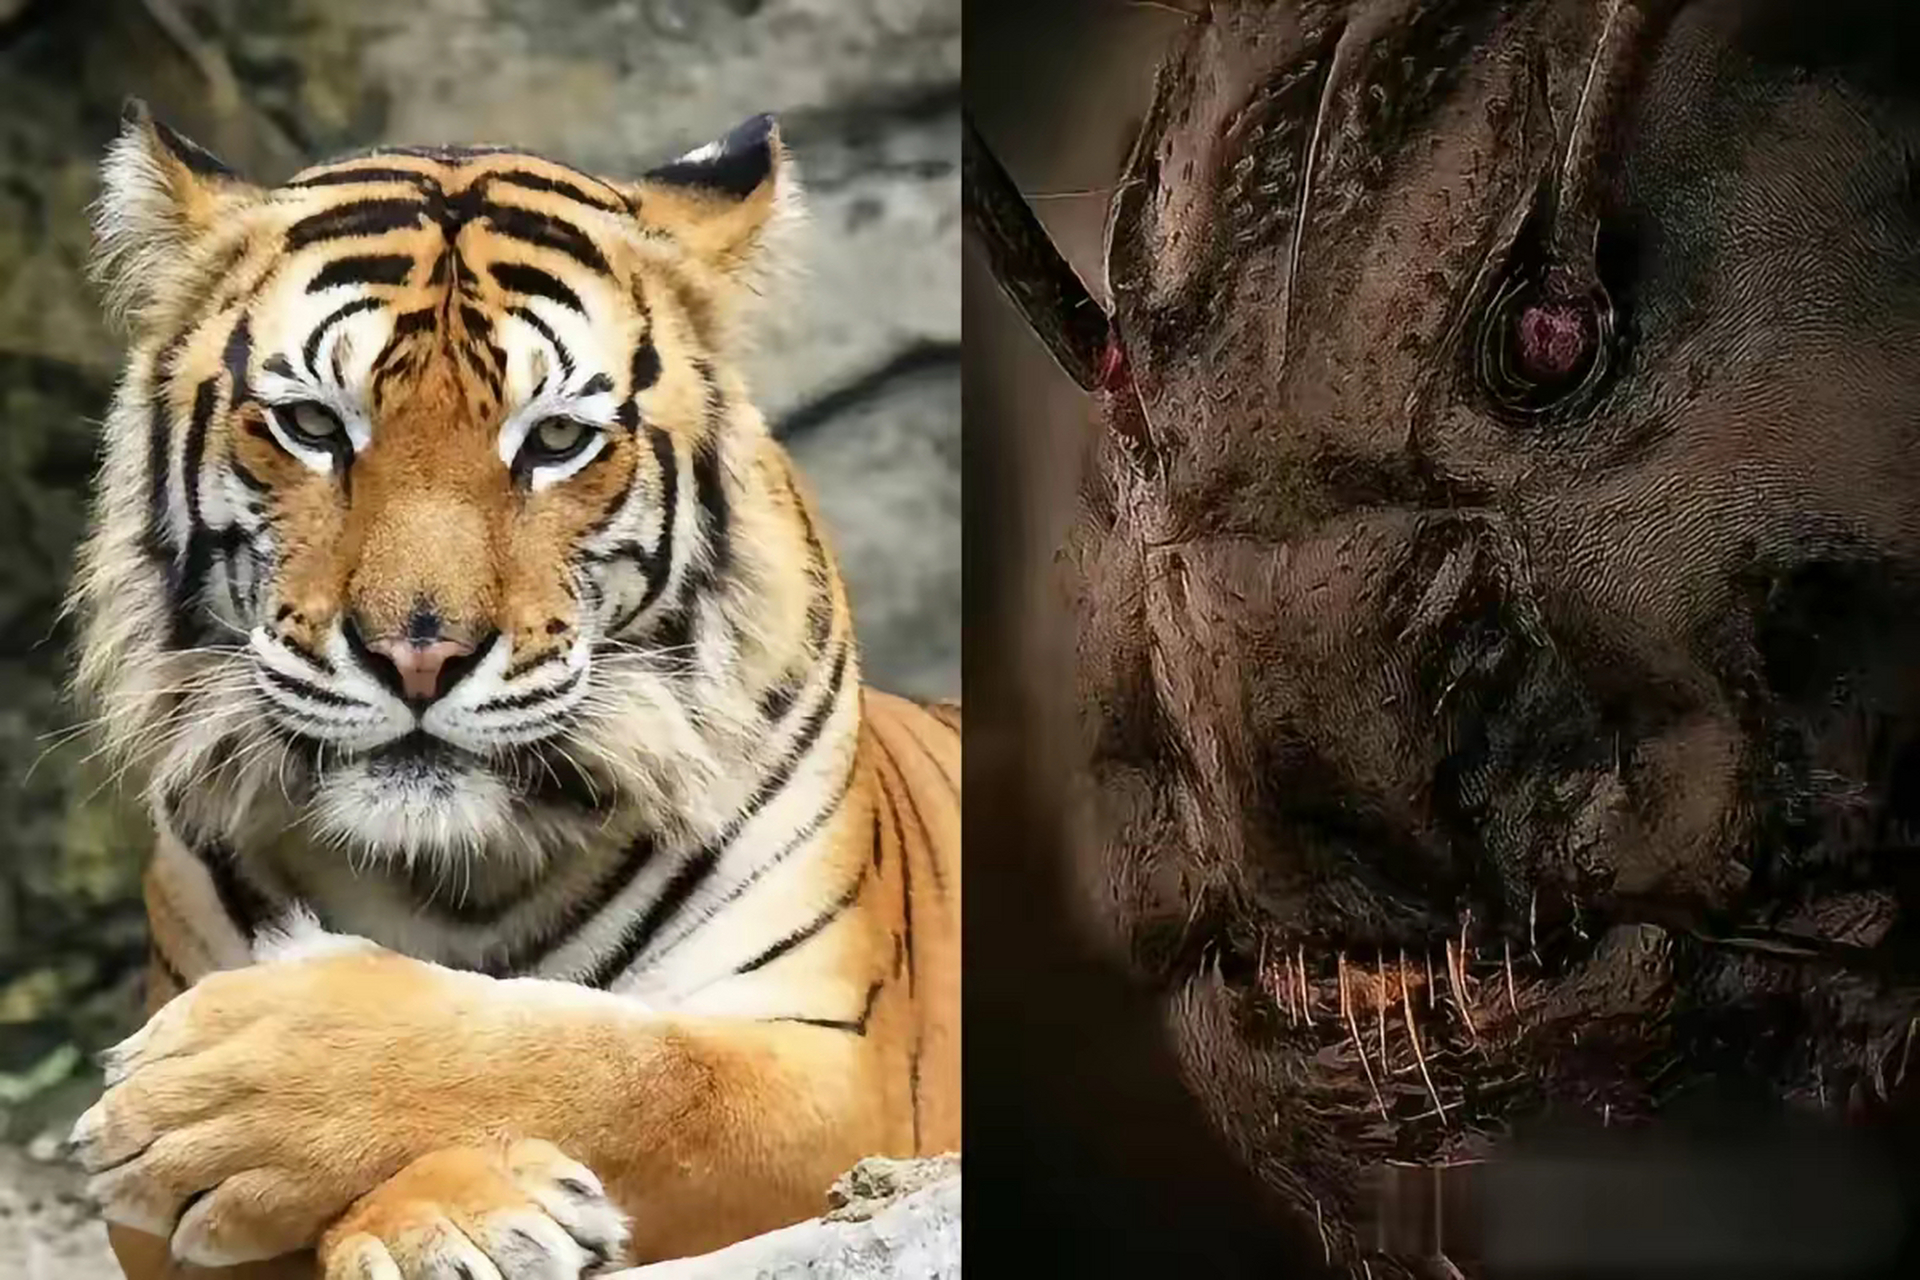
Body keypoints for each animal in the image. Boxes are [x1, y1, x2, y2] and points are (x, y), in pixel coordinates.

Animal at [61, 98, 960, 1280]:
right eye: (313, 426)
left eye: (557, 439)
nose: (419, 655)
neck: (457, 873)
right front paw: (445, 1216)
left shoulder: (839, 1076)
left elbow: (629, 1070)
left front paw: (222, 1099)